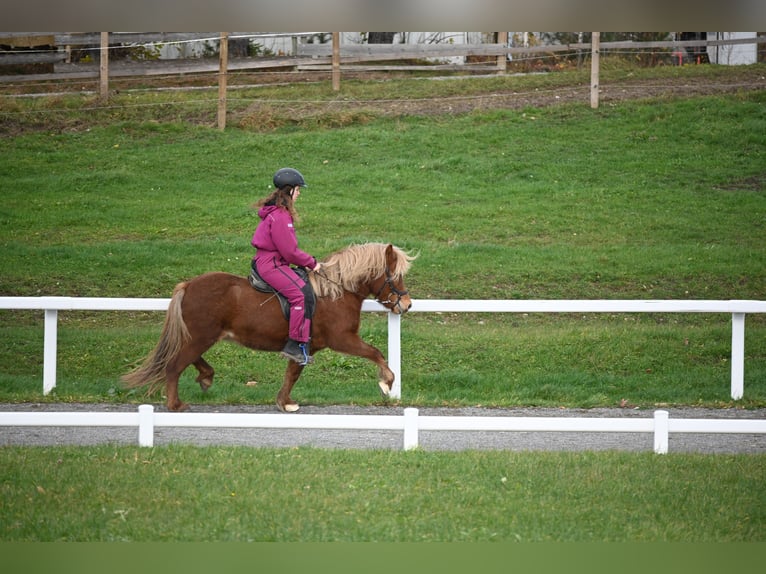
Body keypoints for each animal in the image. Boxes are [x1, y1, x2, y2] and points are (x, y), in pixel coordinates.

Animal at [123, 243, 416, 414]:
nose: (407, 304)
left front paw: (284, 402)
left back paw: (206, 376)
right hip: (200, 336)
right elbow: (375, 352)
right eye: (395, 275)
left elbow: (292, 374)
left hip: (201, 336)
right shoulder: (342, 339)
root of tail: (189, 285)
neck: (334, 293)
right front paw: (387, 383)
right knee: (174, 365)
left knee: (186, 359)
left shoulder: (304, 347)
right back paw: (176, 404)